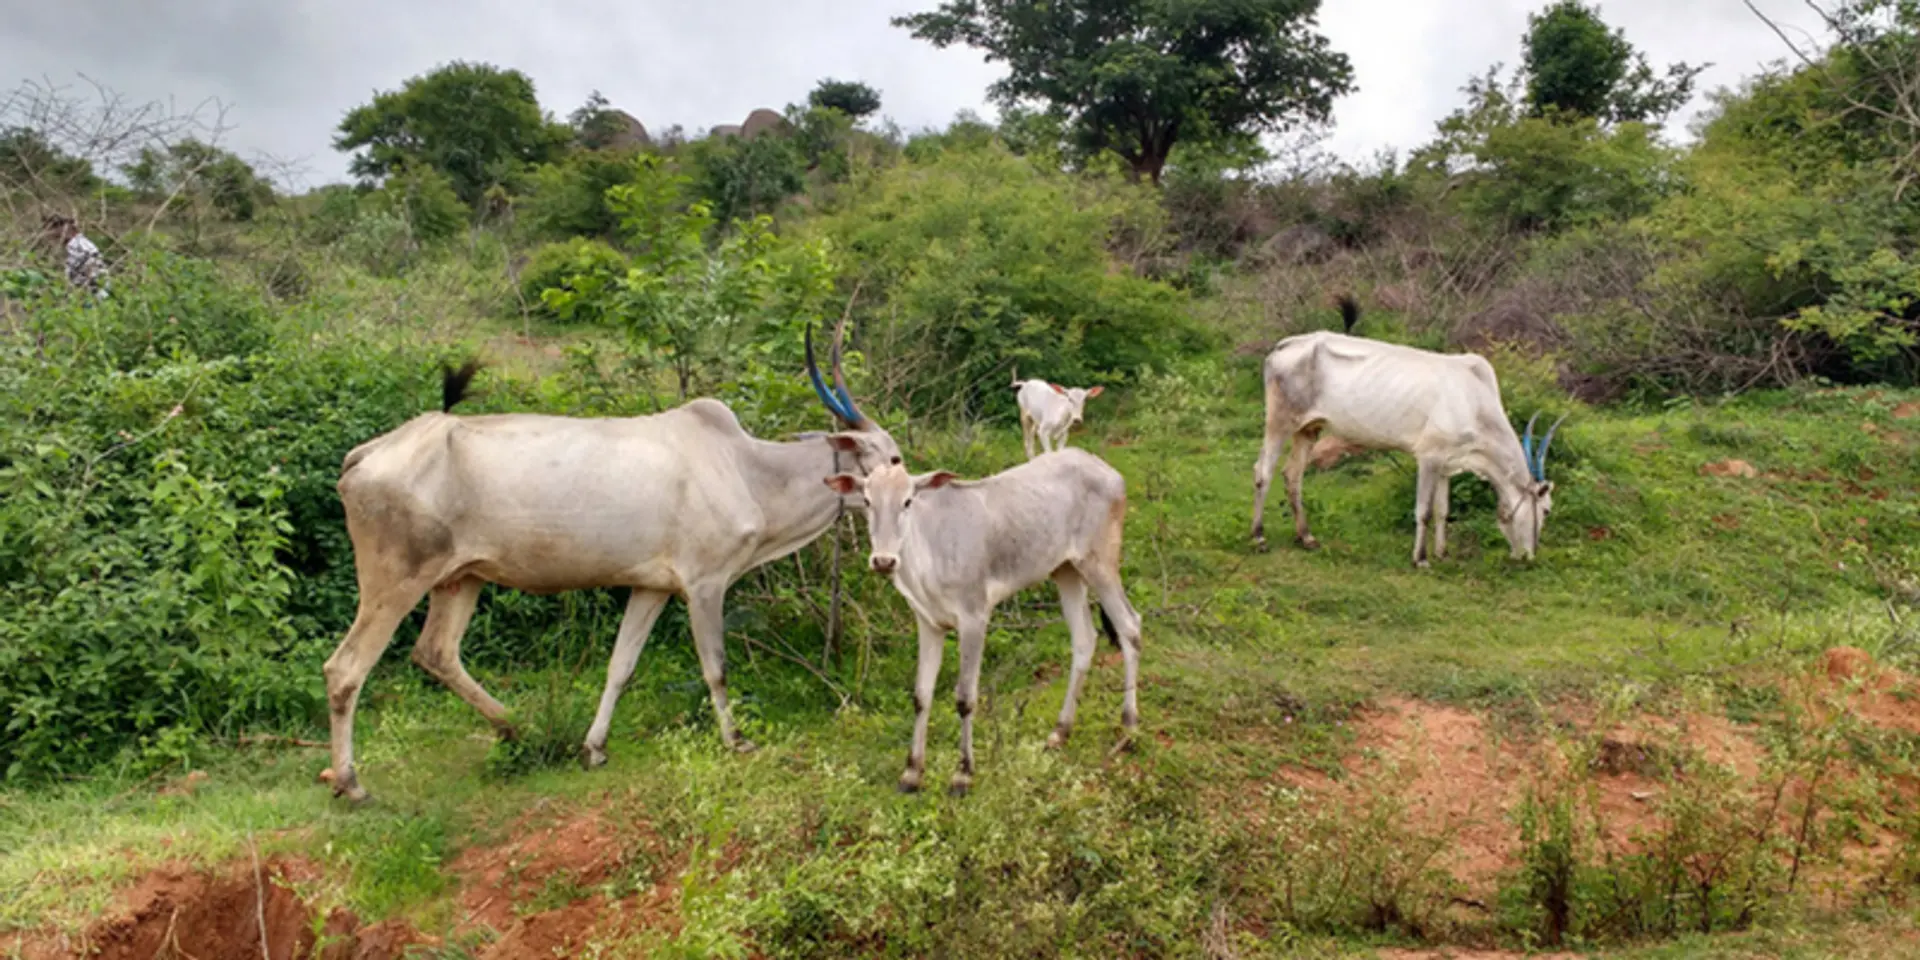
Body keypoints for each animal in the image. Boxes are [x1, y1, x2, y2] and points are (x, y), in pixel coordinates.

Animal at [321, 320, 899, 803]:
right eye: (892, 456)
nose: (910, 492)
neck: (748, 469)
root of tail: (369, 454)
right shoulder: (705, 583)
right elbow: (716, 668)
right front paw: (736, 741)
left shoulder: (653, 587)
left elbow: (621, 666)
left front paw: (593, 747)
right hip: (395, 580)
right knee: (346, 668)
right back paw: (350, 781)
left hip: (462, 578)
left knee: (436, 653)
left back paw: (519, 728)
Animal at [823, 448, 1144, 796]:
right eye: (867, 500)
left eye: (907, 501)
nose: (883, 561)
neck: (926, 558)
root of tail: (1103, 467)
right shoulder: (928, 623)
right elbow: (921, 695)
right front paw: (911, 773)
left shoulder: (974, 617)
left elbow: (965, 697)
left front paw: (963, 774)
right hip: (1065, 570)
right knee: (1084, 638)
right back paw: (1060, 731)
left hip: (1100, 563)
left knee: (1130, 627)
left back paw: (1129, 729)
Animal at [1250, 299, 1567, 566]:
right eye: (1547, 510)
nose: (1529, 556)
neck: (1475, 401)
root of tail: (1285, 345)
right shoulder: (1428, 457)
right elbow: (1423, 511)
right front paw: (1421, 558)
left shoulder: (1447, 464)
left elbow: (1442, 510)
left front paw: (1442, 553)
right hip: (1279, 421)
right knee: (1263, 471)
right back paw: (1259, 537)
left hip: (1308, 428)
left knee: (1292, 475)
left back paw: (1306, 537)